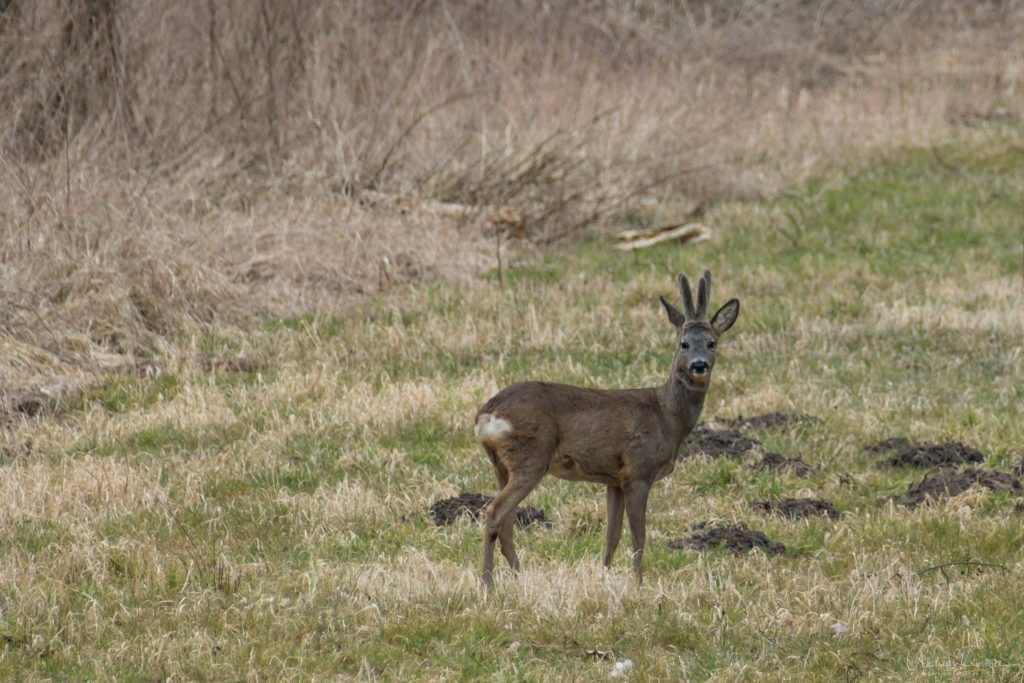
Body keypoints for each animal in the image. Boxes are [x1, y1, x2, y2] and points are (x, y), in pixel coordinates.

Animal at [471, 270, 737, 589]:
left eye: (712, 343)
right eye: (683, 343)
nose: (699, 365)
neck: (666, 416)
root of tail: (487, 413)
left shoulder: (614, 479)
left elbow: (612, 534)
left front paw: (605, 575)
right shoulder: (638, 471)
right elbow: (638, 535)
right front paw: (638, 583)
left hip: (502, 465)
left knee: (506, 521)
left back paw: (519, 577)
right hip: (531, 457)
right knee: (494, 512)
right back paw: (488, 584)